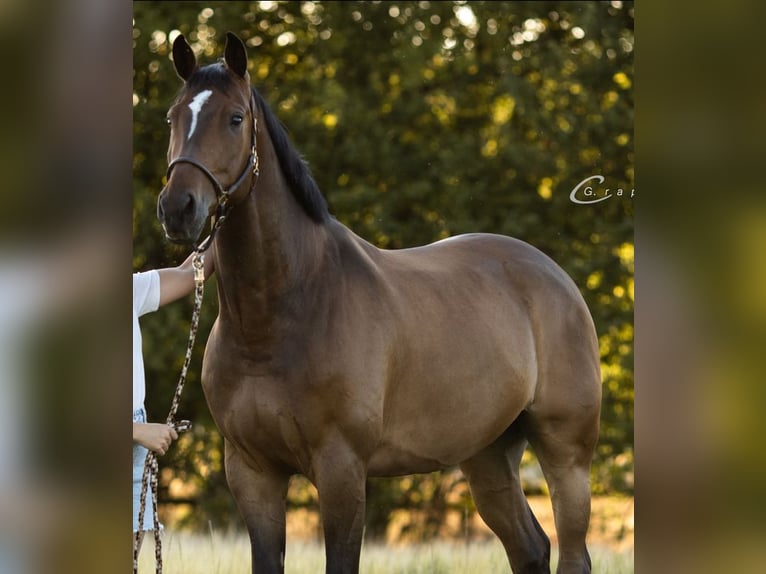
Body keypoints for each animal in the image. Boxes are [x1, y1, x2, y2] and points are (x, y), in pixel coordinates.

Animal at [157, 32, 601, 574]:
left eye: (235, 118)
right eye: (174, 117)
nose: (178, 208)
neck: (282, 316)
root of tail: (557, 278)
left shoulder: (342, 468)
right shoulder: (252, 472)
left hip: (566, 453)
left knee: (571, 552)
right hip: (488, 455)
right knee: (530, 547)